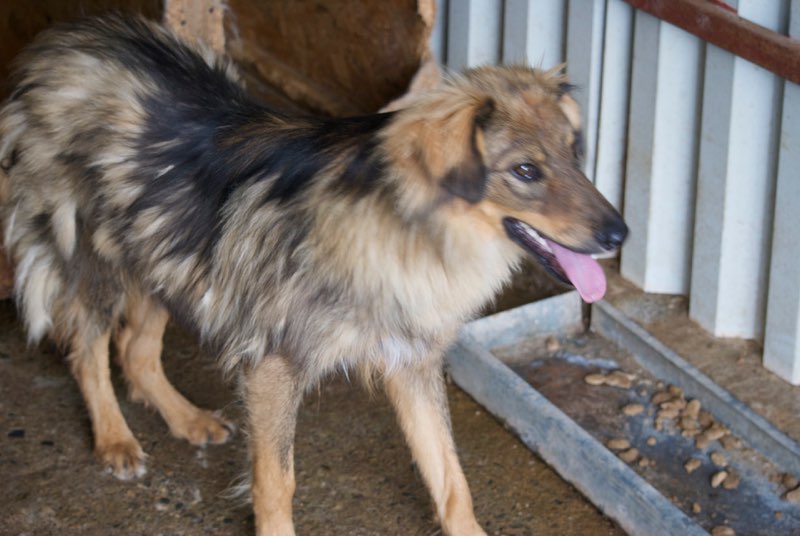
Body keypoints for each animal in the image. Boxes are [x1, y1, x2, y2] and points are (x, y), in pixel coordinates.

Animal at [0, 14, 624, 532]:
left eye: (574, 153)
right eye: (525, 171)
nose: (620, 235)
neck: (404, 227)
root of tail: (72, 39)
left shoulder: (412, 361)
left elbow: (450, 474)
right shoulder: (273, 366)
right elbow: (277, 481)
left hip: (163, 253)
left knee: (134, 350)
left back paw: (187, 419)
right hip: (96, 256)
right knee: (87, 349)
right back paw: (114, 439)